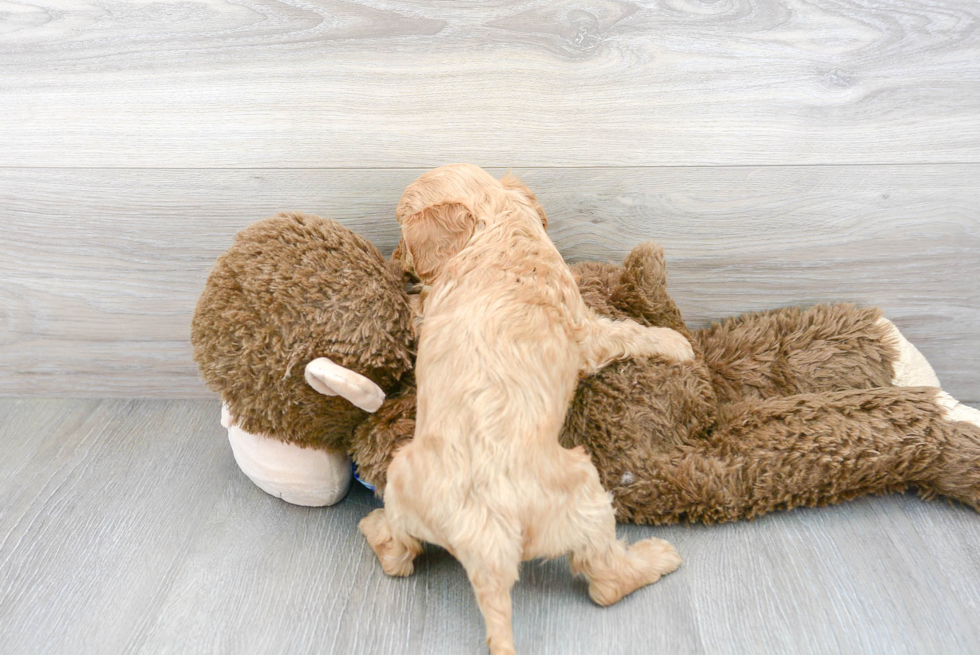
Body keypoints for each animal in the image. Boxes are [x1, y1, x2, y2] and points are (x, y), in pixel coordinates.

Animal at [360, 165, 688, 655]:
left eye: (401, 230)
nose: (397, 261)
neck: (497, 228)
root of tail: (485, 544)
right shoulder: (587, 331)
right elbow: (628, 331)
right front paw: (677, 343)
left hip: (403, 477)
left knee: (398, 556)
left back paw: (374, 526)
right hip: (584, 492)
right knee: (605, 582)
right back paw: (656, 557)